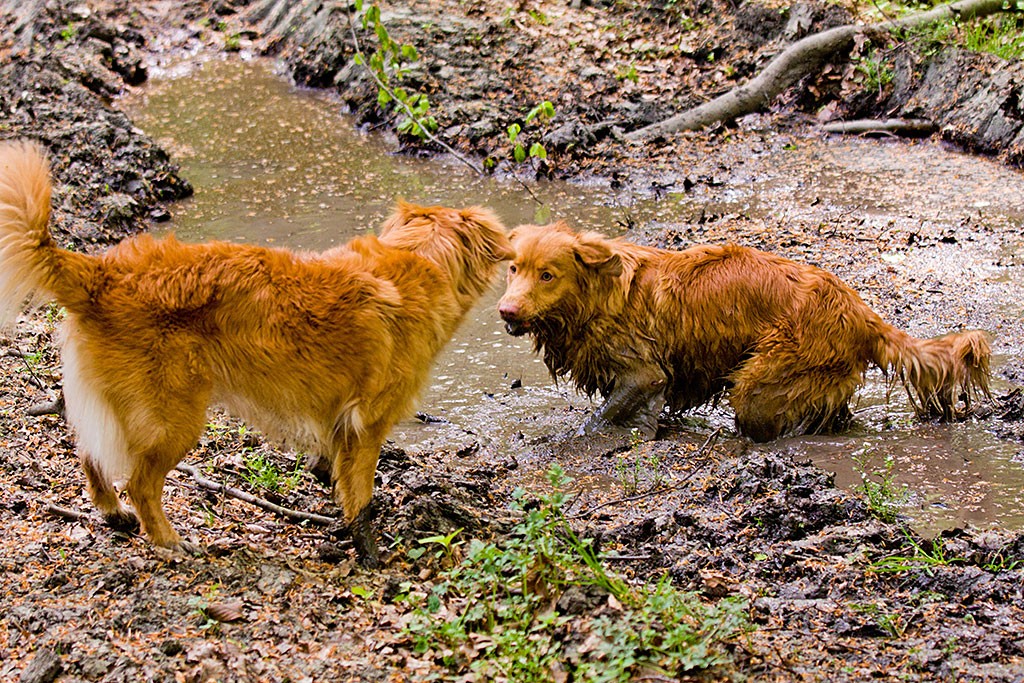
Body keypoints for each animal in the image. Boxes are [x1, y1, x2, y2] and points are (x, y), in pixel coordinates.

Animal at [0, 140, 512, 565]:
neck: (421, 260)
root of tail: (100, 274)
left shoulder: (339, 425)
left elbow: (332, 470)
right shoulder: (368, 425)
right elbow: (360, 497)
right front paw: (368, 551)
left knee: (91, 456)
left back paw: (112, 512)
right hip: (174, 418)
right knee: (141, 483)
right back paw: (168, 540)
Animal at [495, 222, 991, 440]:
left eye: (547, 275)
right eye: (515, 269)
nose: (506, 311)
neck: (594, 295)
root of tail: (859, 310)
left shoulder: (644, 373)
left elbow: (602, 416)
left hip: (763, 380)